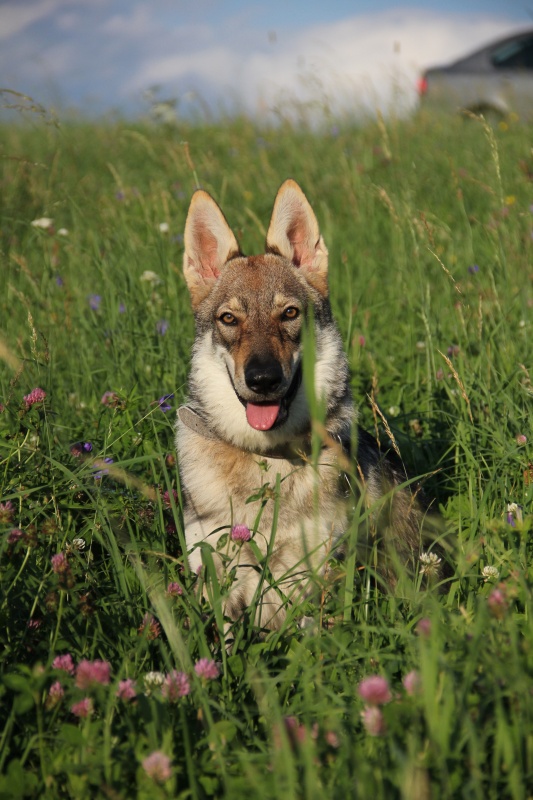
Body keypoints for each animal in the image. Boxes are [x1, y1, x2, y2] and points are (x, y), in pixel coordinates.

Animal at [177, 180, 434, 632]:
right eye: (229, 319)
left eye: (289, 313)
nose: (262, 379)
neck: (265, 460)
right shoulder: (217, 580)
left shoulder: (315, 578)